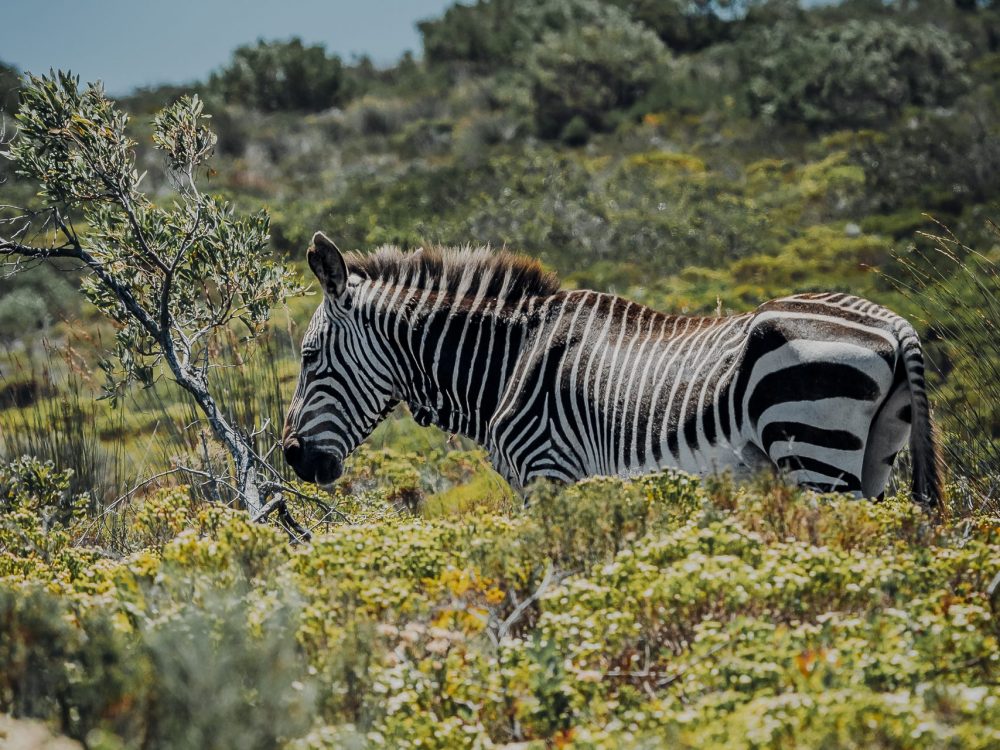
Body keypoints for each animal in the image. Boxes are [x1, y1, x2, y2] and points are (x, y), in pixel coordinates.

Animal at [283, 232, 942, 507]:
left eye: (309, 358)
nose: (292, 459)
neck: (509, 359)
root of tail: (893, 322)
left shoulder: (549, 474)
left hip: (813, 449)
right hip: (872, 460)